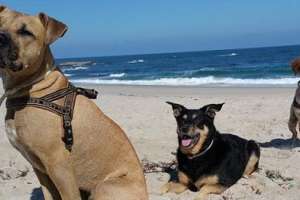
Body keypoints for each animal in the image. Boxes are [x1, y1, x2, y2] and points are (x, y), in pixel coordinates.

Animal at [0, 5, 148, 199]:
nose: (0, 35)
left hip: (104, 187)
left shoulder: (58, 164)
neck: (34, 86)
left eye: (26, 32)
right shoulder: (40, 168)